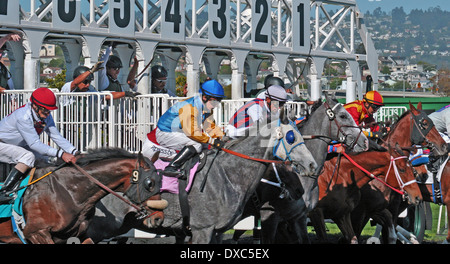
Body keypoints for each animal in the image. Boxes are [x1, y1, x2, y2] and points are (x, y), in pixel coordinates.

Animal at [85, 108, 316, 243]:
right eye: (291, 136)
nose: (312, 165)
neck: (228, 175)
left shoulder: (217, 232)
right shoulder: (202, 229)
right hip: (101, 227)